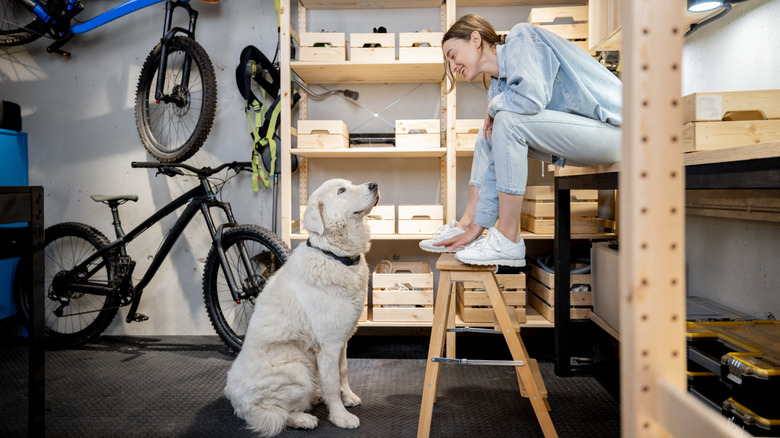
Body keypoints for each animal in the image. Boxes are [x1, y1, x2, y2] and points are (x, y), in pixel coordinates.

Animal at [224, 179, 380, 438]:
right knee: (274, 414)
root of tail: (236, 402)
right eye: (341, 191)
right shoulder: (329, 345)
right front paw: (340, 416)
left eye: (350, 184)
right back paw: (304, 418)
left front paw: (348, 397)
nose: (374, 185)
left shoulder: (342, 341)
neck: (335, 256)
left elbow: (343, 372)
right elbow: (331, 383)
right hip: (298, 369)